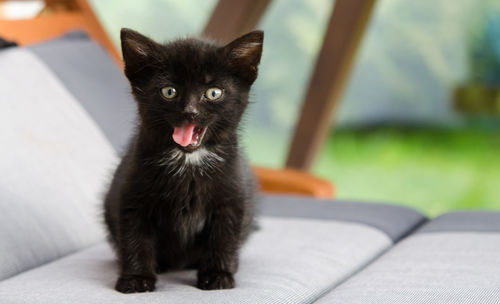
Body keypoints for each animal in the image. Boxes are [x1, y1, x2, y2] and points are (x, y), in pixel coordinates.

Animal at [104, 28, 264, 292]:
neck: (188, 162)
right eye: (169, 91)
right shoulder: (132, 197)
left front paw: (218, 275)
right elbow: (135, 237)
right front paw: (136, 279)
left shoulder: (231, 198)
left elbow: (224, 237)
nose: (190, 112)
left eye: (213, 93)